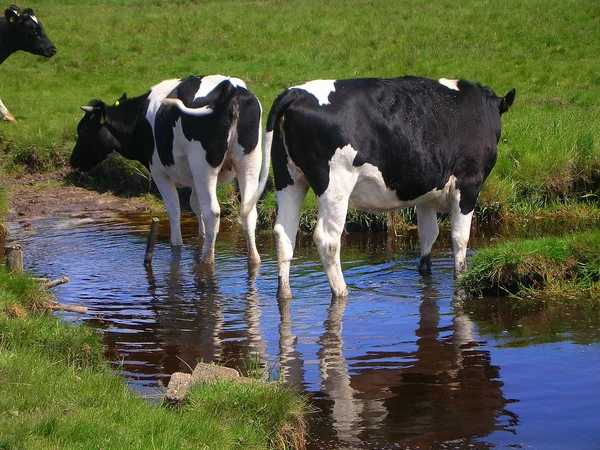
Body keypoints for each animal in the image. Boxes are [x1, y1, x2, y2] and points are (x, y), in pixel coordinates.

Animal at [70, 75, 270, 268]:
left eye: (83, 131)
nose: (73, 161)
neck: (141, 119)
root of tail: (230, 89)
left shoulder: (159, 173)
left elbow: (174, 210)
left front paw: (177, 246)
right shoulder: (193, 178)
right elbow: (195, 205)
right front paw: (201, 238)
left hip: (203, 165)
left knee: (212, 213)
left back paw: (206, 260)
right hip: (249, 161)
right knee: (247, 211)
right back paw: (253, 259)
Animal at [268, 75, 516, 298]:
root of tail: (296, 92)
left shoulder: (426, 193)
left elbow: (428, 234)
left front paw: (425, 271)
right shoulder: (469, 184)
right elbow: (459, 237)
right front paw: (461, 279)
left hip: (288, 179)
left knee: (284, 232)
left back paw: (284, 292)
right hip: (335, 185)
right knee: (327, 239)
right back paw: (341, 291)